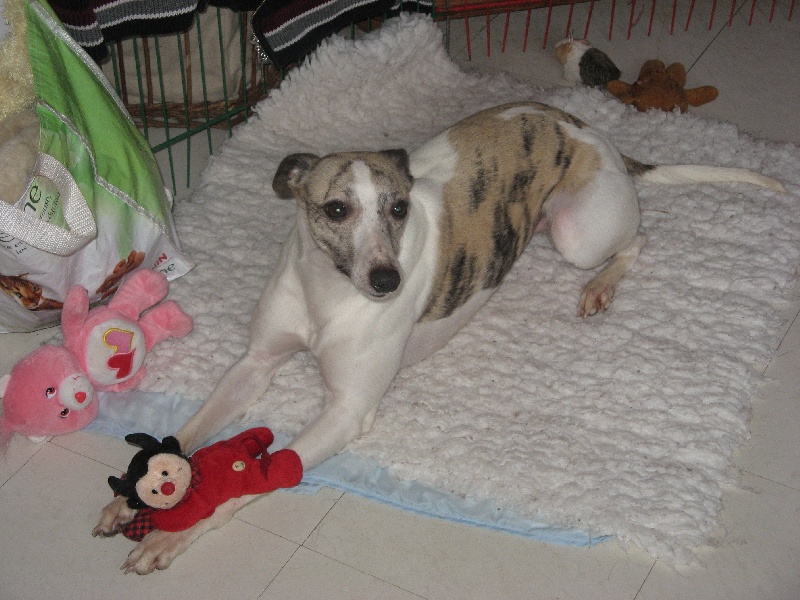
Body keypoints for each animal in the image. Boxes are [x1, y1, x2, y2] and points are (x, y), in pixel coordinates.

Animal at [93, 101, 785, 573]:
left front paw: (170, 534)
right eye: (337, 209)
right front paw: (134, 494)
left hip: (580, 235)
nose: (387, 280)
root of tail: (586, 128)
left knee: (637, 240)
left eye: (398, 209)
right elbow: (189, 429)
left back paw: (601, 288)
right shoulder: (254, 362)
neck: (328, 293)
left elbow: (253, 480)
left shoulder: (347, 412)